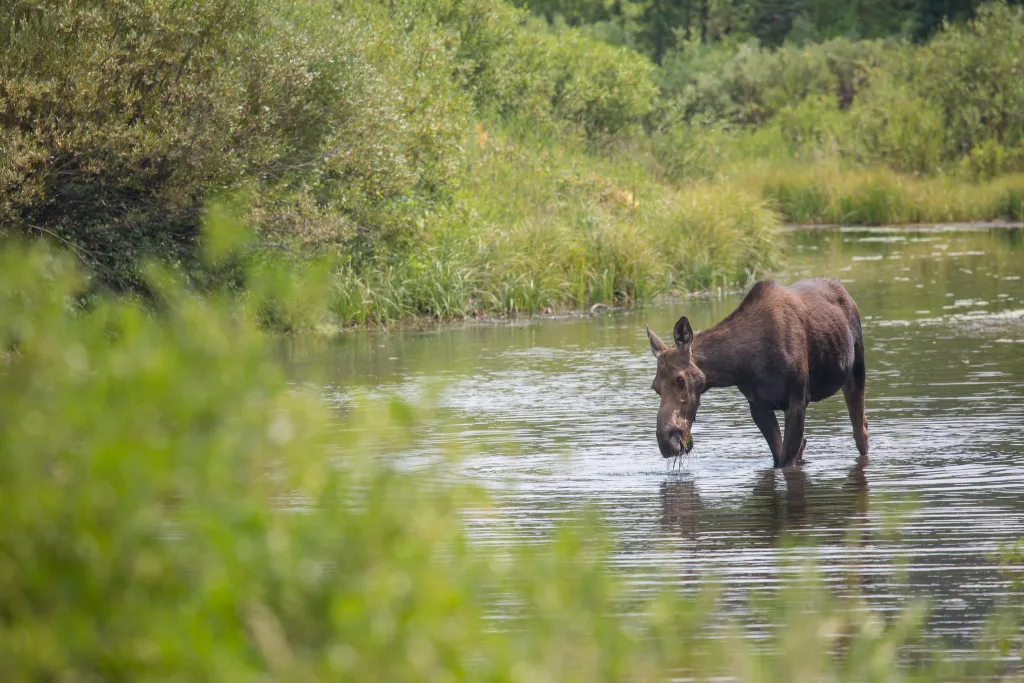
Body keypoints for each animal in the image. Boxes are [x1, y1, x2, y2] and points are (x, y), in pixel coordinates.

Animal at [643, 278, 868, 471]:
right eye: (655, 387)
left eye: (680, 379)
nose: (667, 443)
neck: (741, 366)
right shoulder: (758, 407)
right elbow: (779, 456)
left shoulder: (797, 400)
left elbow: (786, 462)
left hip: (857, 369)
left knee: (861, 431)